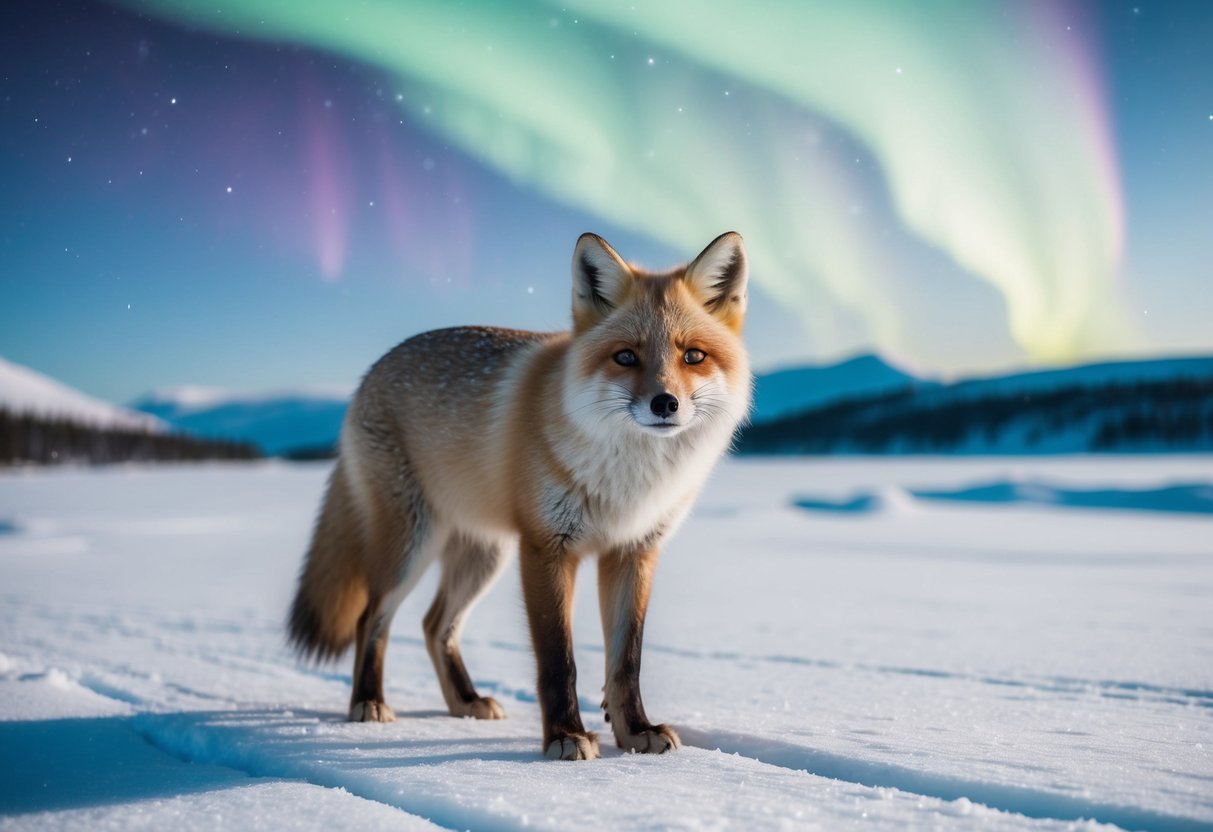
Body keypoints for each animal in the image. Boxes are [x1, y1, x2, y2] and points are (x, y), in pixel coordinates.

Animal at [288, 231, 752, 760]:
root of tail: (369, 375)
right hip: (412, 546)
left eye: (693, 356)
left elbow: (626, 662)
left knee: (434, 625)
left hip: (483, 555)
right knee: (372, 618)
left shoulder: (633, 551)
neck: (629, 480)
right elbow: (558, 661)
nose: (665, 403)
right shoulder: (546, 547)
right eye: (625, 357)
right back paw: (367, 702)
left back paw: (465, 702)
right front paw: (566, 736)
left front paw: (635, 731)